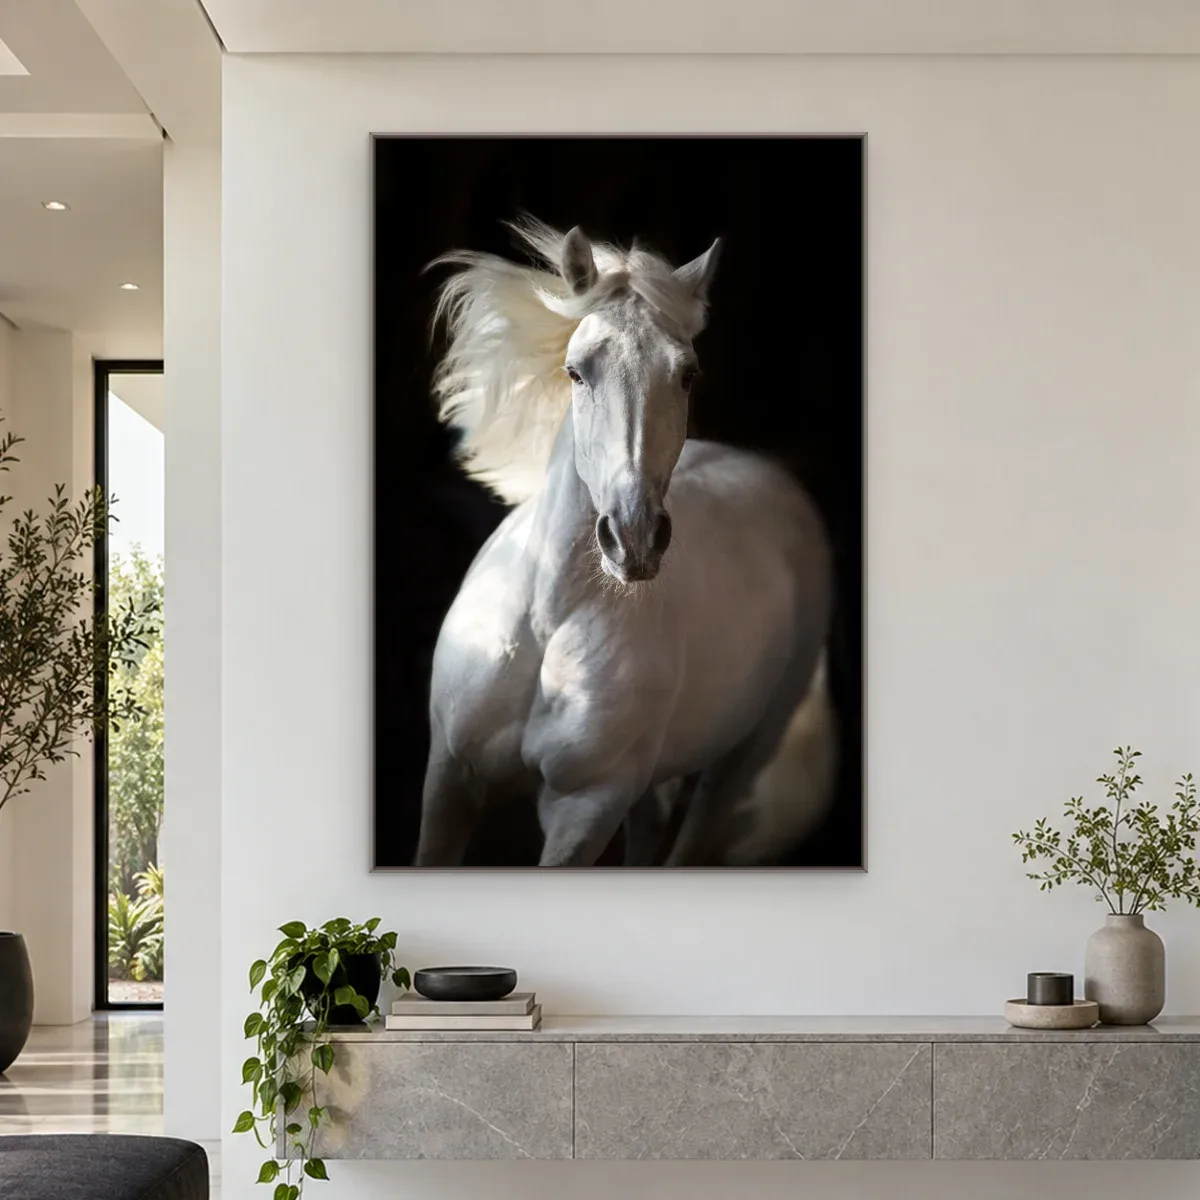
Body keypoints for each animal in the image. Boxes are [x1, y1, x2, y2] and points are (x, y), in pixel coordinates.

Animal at [413, 218, 836, 867]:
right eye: (575, 371)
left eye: (687, 373)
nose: (633, 538)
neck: (546, 621)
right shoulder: (450, 779)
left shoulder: (586, 808)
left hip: (742, 757)